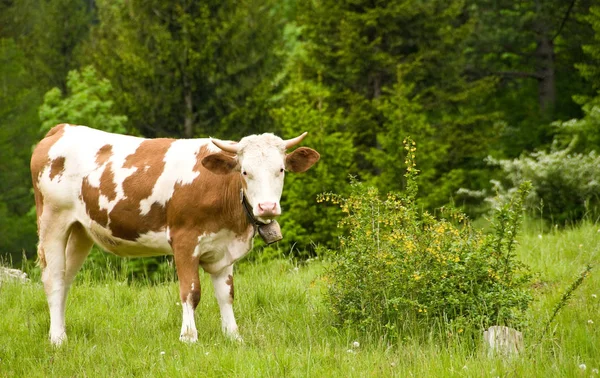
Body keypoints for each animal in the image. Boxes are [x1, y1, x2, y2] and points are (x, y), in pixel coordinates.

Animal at [29, 125, 318, 346]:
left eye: (281, 170)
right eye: (245, 171)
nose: (267, 207)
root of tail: (63, 128)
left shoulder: (224, 248)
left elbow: (226, 294)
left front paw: (233, 336)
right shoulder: (184, 241)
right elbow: (191, 292)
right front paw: (189, 337)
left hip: (81, 231)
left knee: (66, 279)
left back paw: (61, 331)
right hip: (53, 221)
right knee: (53, 279)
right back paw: (57, 340)